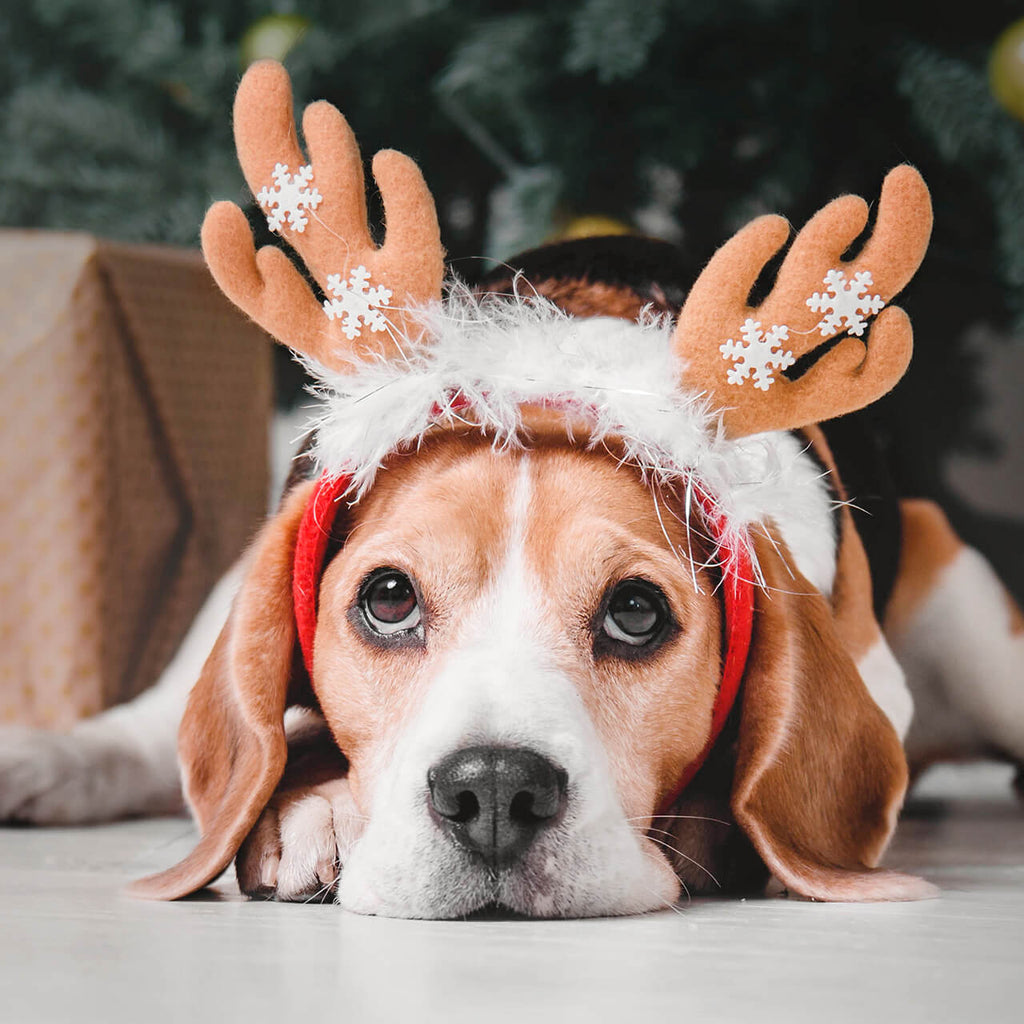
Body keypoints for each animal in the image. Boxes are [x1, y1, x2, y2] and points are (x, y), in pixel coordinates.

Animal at [2, 59, 1024, 917]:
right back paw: (43, 762)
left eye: (637, 612)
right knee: (139, 735)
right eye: (387, 598)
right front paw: (310, 809)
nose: (493, 789)